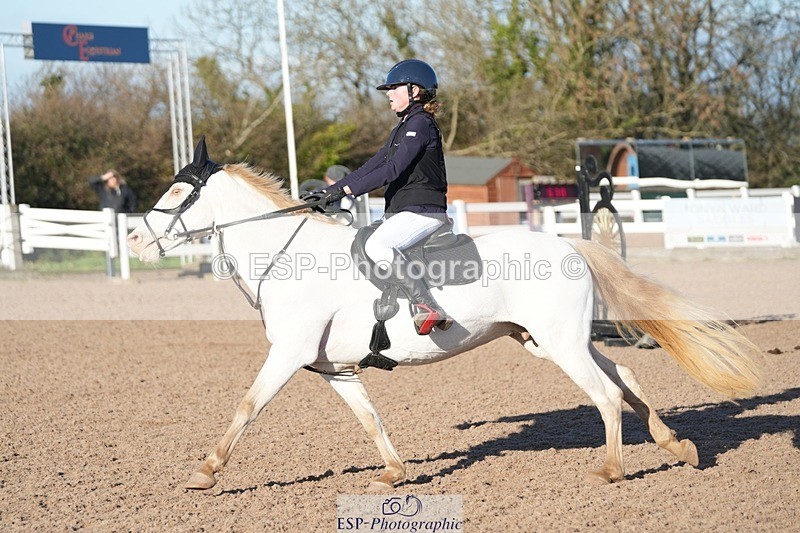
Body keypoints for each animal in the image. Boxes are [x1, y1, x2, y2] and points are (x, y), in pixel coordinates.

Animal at [127, 138, 761, 491]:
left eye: (178, 191)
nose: (134, 238)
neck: (288, 254)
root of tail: (568, 245)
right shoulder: (333, 368)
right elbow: (369, 420)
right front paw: (393, 473)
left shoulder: (287, 354)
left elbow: (247, 406)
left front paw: (206, 471)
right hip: (549, 340)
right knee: (624, 377)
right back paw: (676, 445)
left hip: (559, 344)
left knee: (605, 394)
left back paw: (610, 470)